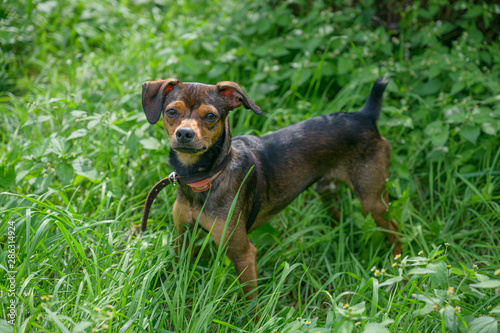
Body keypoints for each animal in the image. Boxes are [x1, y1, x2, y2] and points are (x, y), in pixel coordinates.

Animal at [141, 77, 402, 298]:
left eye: (211, 116)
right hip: (326, 190)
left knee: (393, 227)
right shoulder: (182, 238)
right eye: (171, 112)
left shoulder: (243, 253)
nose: (185, 133)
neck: (205, 177)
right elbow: (178, 275)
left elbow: (250, 301)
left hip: (372, 200)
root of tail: (364, 116)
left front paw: (251, 321)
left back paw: (396, 265)